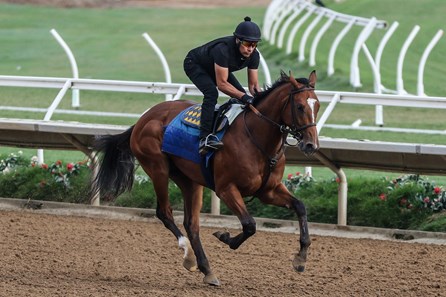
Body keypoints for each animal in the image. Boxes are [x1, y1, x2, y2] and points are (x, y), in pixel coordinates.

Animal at [91, 69, 320, 284]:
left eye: (316, 105)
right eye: (300, 106)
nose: (311, 145)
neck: (257, 139)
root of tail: (142, 120)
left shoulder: (269, 190)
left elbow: (300, 207)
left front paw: (301, 258)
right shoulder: (226, 188)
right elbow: (249, 225)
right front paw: (225, 236)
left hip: (189, 180)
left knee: (191, 224)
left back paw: (206, 269)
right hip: (158, 168)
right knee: (165, 212)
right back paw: (188, 255)